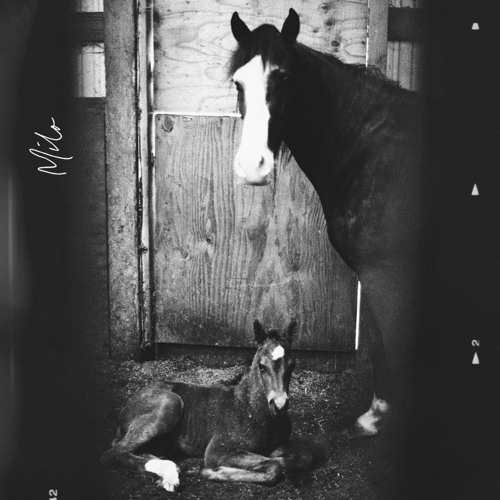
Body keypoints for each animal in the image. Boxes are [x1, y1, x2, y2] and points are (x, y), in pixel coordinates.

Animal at [101, 320, 315, 491]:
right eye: (261, 366)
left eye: (292, 365)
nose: (279, 405)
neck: (250, 410)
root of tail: (126, 408)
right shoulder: (217, 451)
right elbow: (274, 467)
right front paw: (215, 472)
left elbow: (302, 457)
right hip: (169, 404)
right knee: (116, 452)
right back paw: (171, 474)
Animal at [229, 9, 424, 439]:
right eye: (238, 81)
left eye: (285, 77)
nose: (252, 166)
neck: (370, 153)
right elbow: (378, 343)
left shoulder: (386, 274)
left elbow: (390, 345)